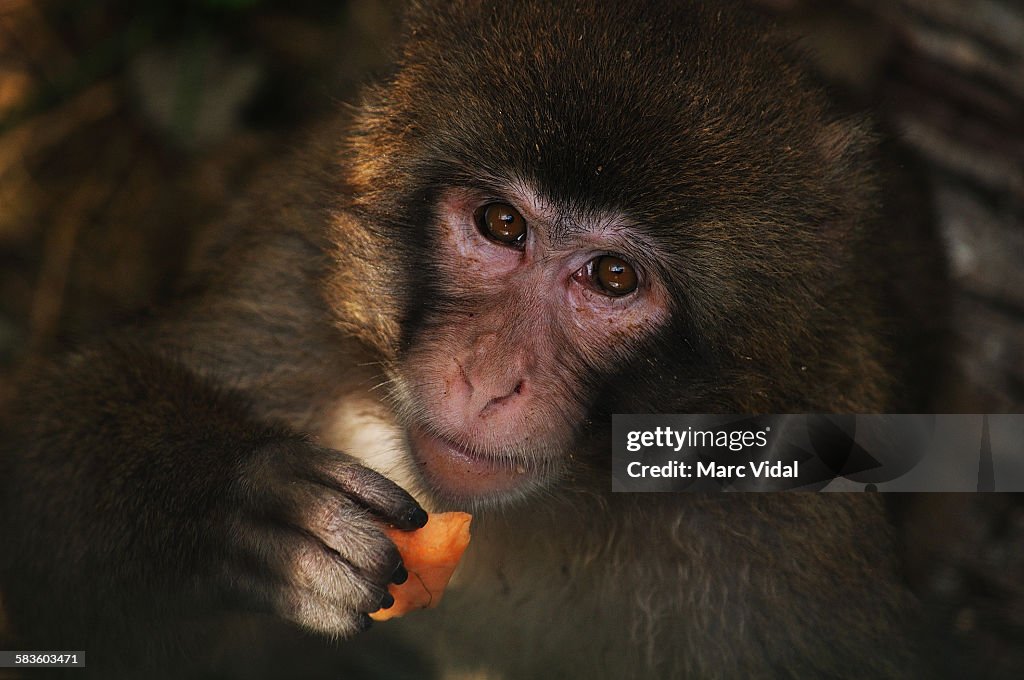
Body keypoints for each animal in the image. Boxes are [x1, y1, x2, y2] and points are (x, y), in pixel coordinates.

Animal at [0, 0, 950, 675]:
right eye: (501, 224)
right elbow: (36, 456)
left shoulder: (779, 530)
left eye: (614, 277)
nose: (489, 378)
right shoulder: (295, 273)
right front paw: (238, 499)